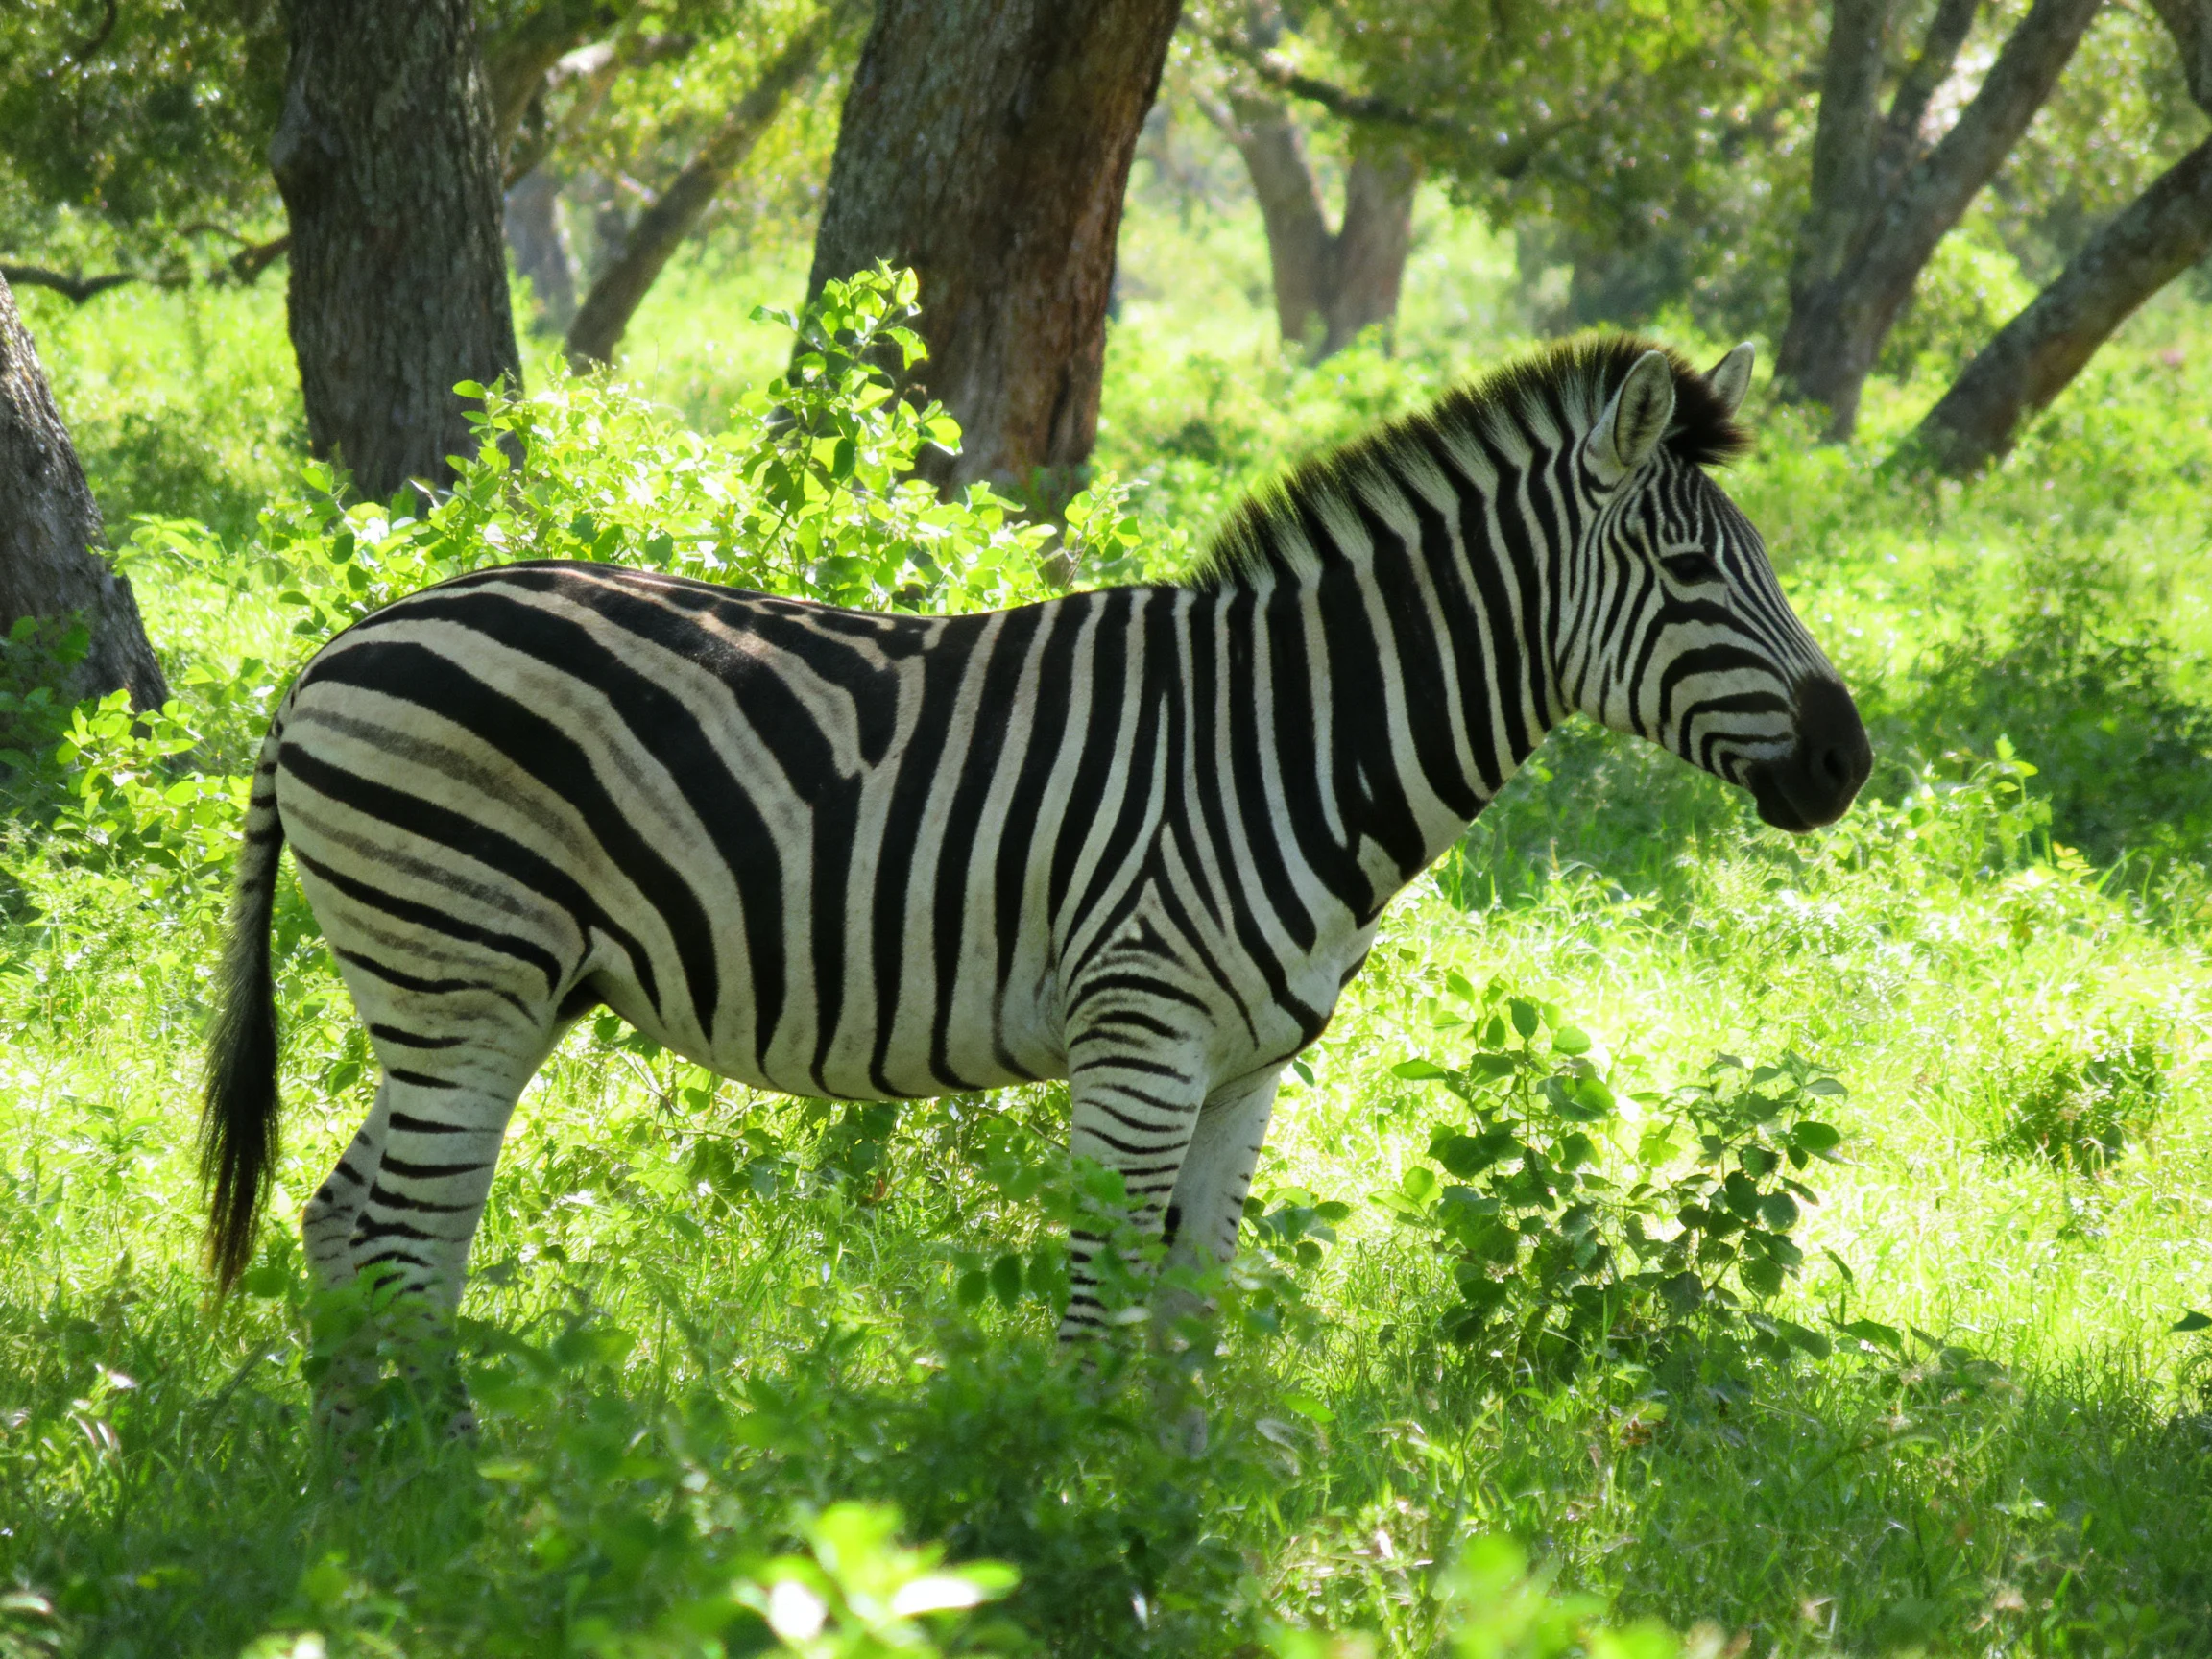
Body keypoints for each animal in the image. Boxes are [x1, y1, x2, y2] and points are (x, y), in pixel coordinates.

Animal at [201, 336, 1869, 1421]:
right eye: (1693, 573)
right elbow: (1095, 1317)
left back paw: (372, 1498)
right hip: (462, 976)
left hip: (495, 992)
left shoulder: (1246, 1072)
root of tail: (335, 648)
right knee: (405, 1241)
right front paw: (1065, 1520)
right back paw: (442, 1504)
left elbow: (1189, 1323)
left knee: (348, 1224)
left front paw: (1170, 1517)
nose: (1850, 763)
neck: (1287, 735)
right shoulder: (1139, 1045)